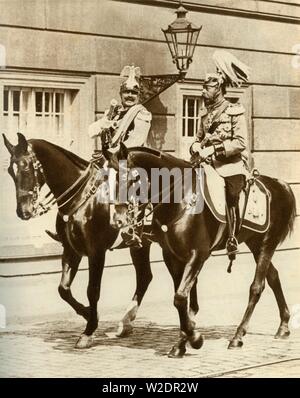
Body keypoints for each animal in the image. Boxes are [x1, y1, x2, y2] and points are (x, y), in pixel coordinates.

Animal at [3, 134, 156, 348]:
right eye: (10, 170)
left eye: (25, 167)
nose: (23, 211)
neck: (82, 197)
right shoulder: (71, 249)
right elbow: (63, 289)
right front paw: (88, 313)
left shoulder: (96, 251)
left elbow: (92, 290)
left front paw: (89, 330)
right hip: (140, 244)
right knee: (144, 276)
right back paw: (125, 323)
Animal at [105, 144, 296, 358]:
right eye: (107, 179)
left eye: (132, 178)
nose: (118, 220)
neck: (180, 198)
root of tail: (281, 185)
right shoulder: (172, 256)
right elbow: (182, 298)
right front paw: (182, 342)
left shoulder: (198, 255)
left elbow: (180, 297)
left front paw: (194, 338)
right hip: (255, 244)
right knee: (273, 277)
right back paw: (283, 325)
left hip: (266, 245)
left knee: (257, 287)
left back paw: (238, 336)